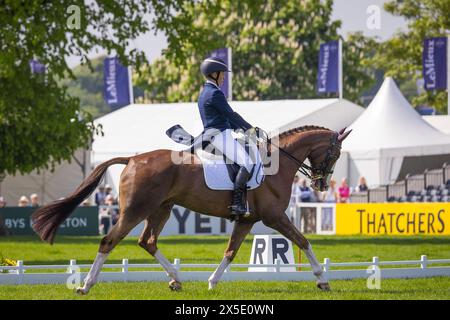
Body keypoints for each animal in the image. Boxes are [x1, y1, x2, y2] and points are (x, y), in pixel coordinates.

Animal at [32, 125, 352, 296]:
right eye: (335, 153)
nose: (321, 184)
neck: (277, 163)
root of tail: (133, 159)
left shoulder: (247, 220)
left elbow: (230, 252)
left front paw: (211, 282)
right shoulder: (275, 217)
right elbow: (303, 241)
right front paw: (322, 279)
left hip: (160, 209)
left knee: (147, 241)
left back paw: (176, 279)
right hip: (135, 210)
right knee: (109, 241)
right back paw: (86, 285)